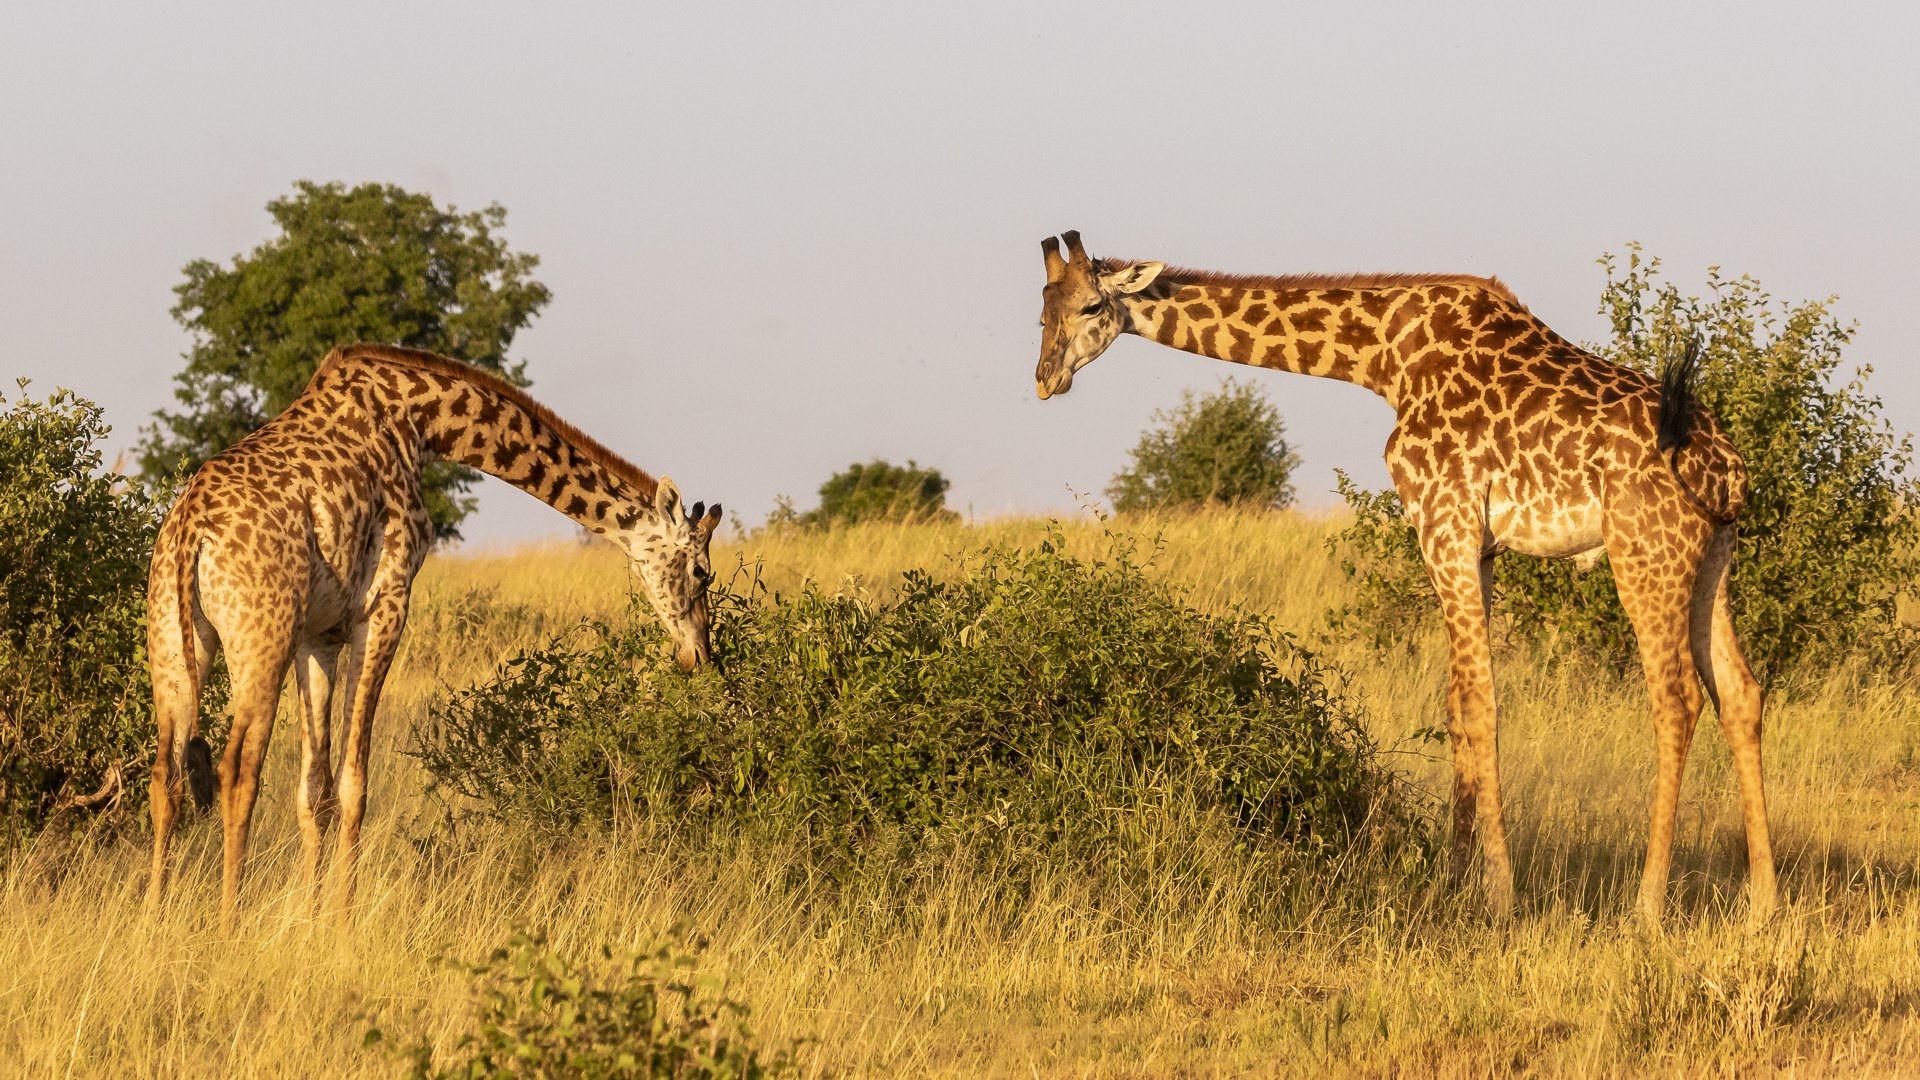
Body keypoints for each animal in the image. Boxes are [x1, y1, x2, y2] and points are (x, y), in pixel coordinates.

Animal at [144, 342, 725, 926]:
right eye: (702, 572)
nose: (698, 655)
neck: (421, 423)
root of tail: (190, 529)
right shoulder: (385, 605)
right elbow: (354, 783)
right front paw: (343, 925)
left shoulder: (318, 634)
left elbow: (315, 791)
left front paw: (308, 922)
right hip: (261, 642)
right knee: (236, 771)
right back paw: (228, 924)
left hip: (174, 646)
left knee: (165, 777)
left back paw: (156, 922)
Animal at [1044, 228, 1774, 914]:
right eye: (1042, 309)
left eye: (1090, 305)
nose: (1044, 378)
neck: (1384, 359)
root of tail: (1726, 466)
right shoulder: (1477, 545)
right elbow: (1455, 704)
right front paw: (1454, 881)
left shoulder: (1442, 521)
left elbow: (1481, 705)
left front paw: (1501, 894)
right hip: (1714, 555)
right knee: (1739, 691)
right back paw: (1761, 903)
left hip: (1643, 552)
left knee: (1676, 698)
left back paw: (1647, 905)